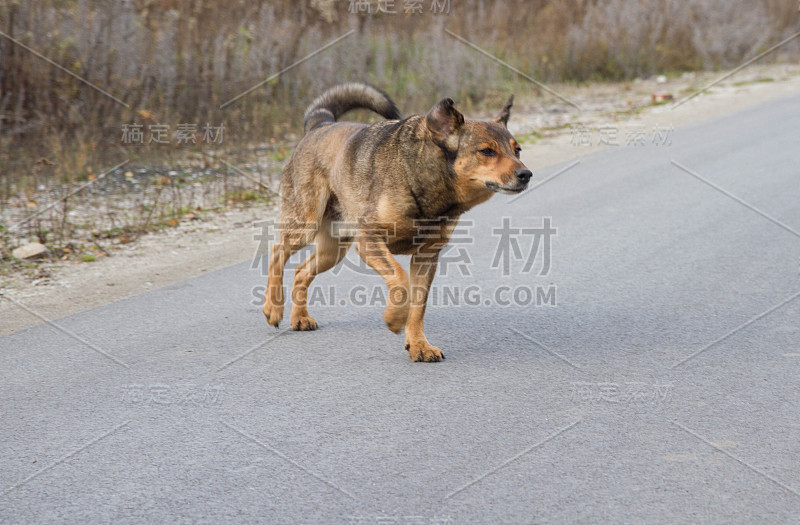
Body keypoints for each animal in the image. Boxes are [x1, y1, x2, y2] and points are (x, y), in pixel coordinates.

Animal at [266, 83, 536, 360]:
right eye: (487, 151)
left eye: (517, 150)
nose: (526, 174)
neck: (424, 178)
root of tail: (321, 124)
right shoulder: (369, 241)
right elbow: (399, 278)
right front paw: (395, 317)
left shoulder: (426, 257)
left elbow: (417, 307)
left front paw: (418, 344)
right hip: (305, 226)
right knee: (277, 252)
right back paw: (273, 308)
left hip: (334, 249)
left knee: (301, 271)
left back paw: (300, 317)